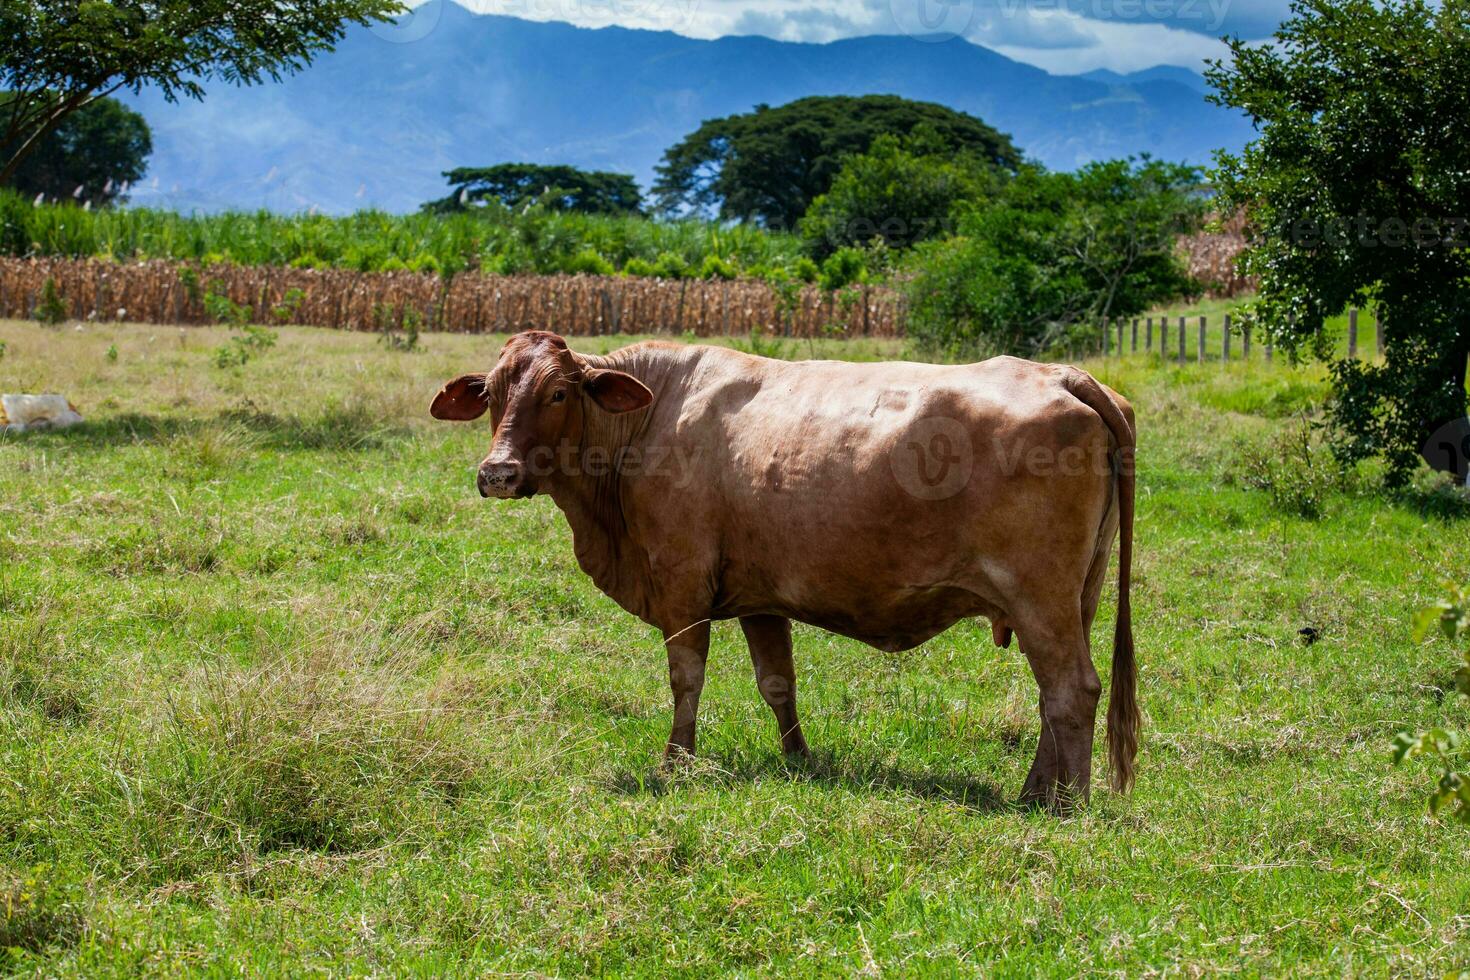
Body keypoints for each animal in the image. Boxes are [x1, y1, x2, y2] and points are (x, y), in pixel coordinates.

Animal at [429, 329, 1140, 805]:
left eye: (557, 393)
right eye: (491, 393)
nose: (498, 473)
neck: (648, 421)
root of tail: (1061, 374)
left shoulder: (681, 585)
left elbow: (686, 679)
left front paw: (676, 764)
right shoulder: (760, 596)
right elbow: (778, 682)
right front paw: (800, 760)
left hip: (1040, 597)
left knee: (1073, 690)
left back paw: (1067, 806)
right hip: (1074, 598)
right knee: (1053, 696)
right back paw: (1035, 792)